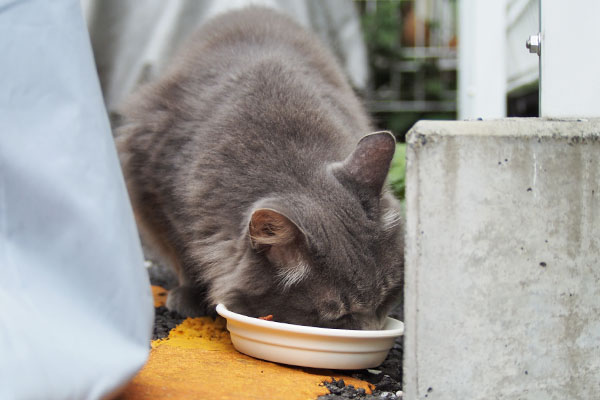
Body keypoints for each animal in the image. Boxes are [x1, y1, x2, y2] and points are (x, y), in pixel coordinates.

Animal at [115, 6, 404, 330]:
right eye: (341, 316)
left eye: (385, 298)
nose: (374, 332)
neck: (290, 162)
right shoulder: (150, 183)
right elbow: (183, 252)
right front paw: (189, 296)